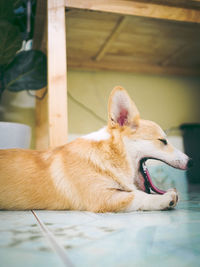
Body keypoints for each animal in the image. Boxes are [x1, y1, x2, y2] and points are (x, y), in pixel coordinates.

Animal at [0, 87, 191, 213]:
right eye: (163, 141)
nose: (192, 162)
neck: (109, 155)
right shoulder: (102, 197)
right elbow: (137, 196)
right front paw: (165, 199)